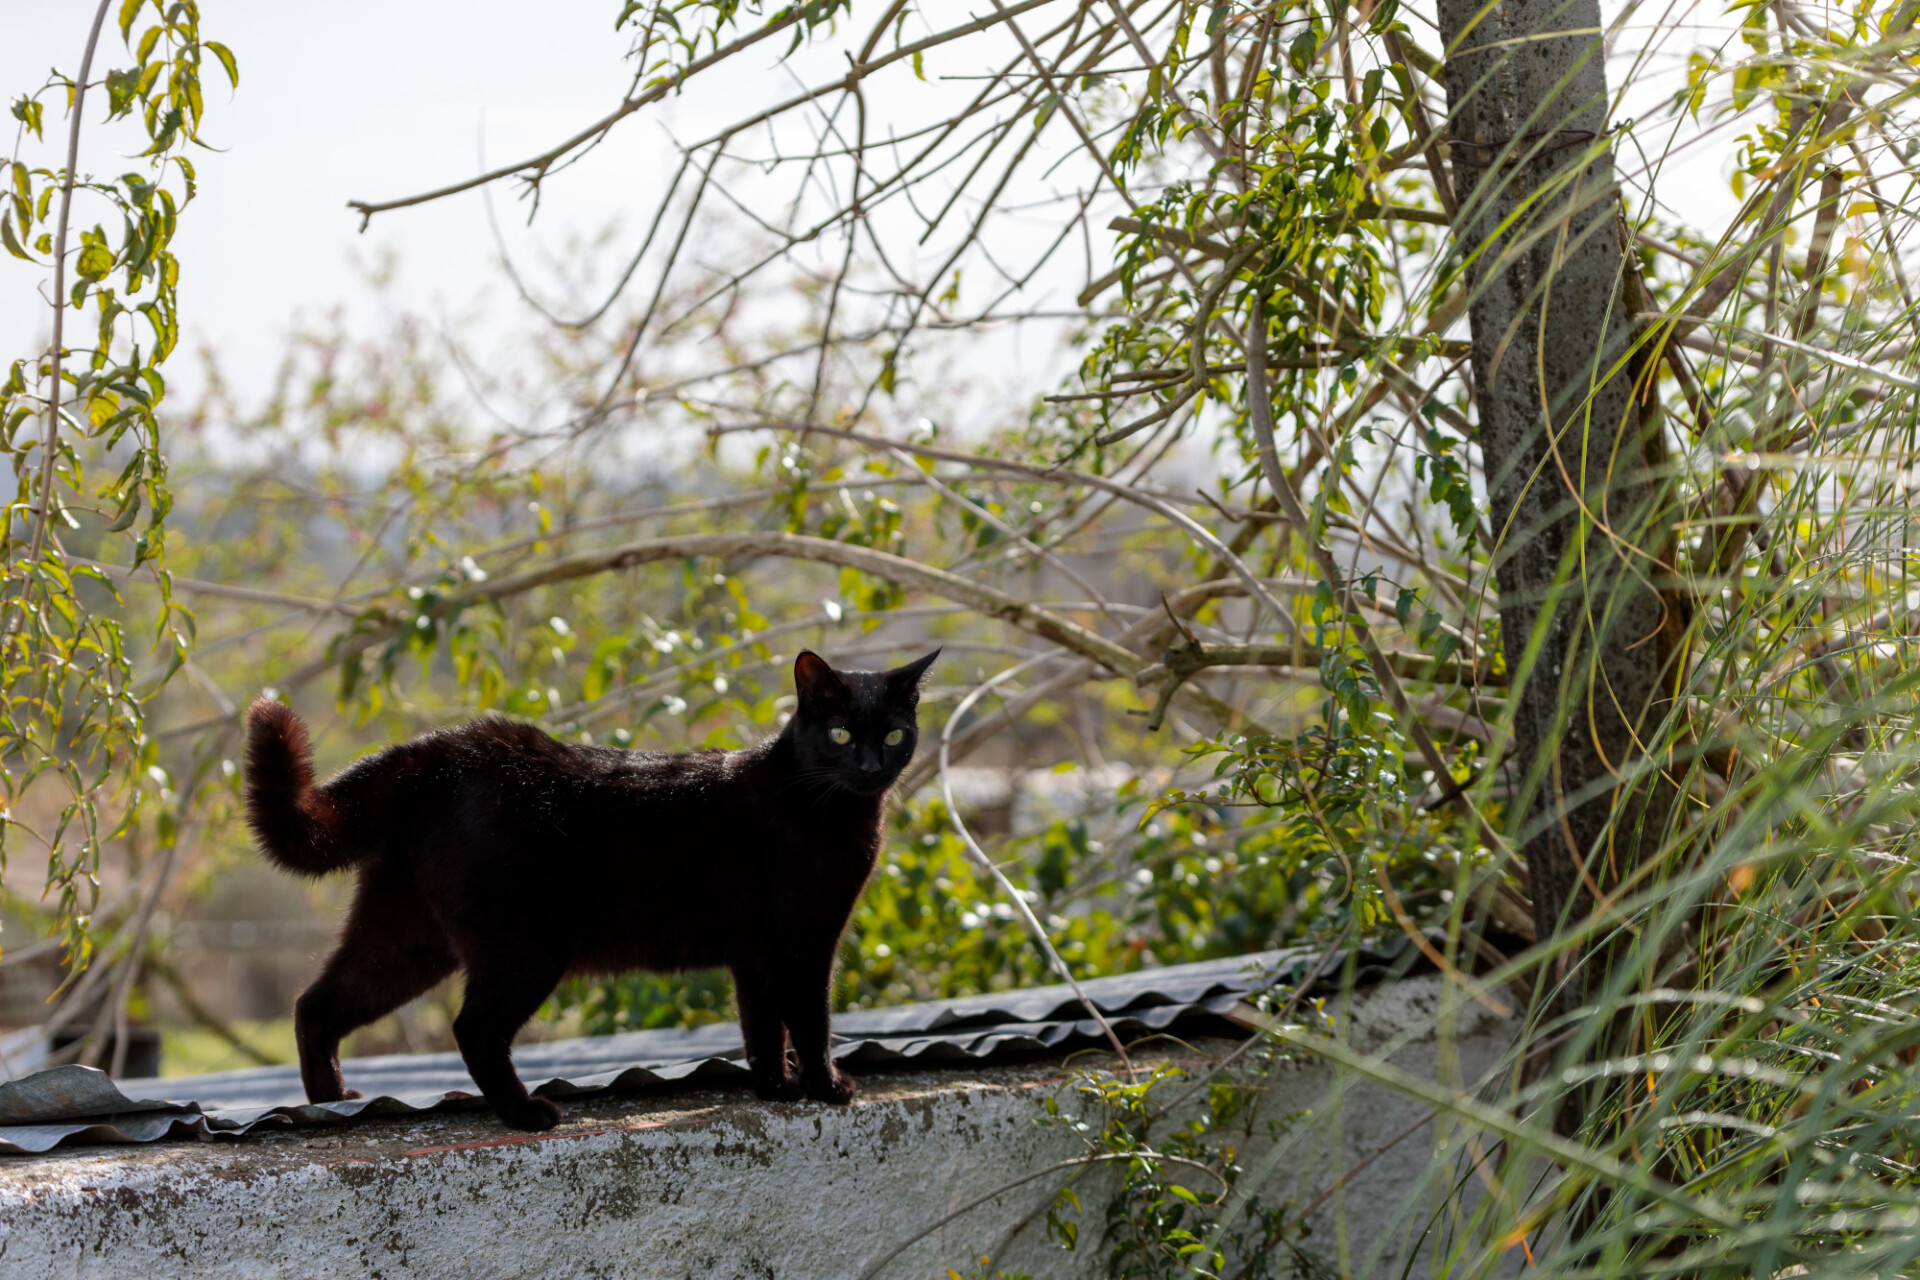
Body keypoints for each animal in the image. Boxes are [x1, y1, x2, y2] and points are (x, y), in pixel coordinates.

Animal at [247, 652, 936, 1128]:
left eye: (894, 734)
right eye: (841, 734)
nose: (871, 767)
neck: (824, 803)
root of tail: (440, 750)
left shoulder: (757, 954)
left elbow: (762, 1026)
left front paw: (776, 1089)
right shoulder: (804, 941)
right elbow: (812, 1021)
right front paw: (828, 1088)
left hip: (406, 937)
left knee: (316, 1005)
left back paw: (329, 1102)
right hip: (526, 946)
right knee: (473, 1029)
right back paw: (526, 1115)